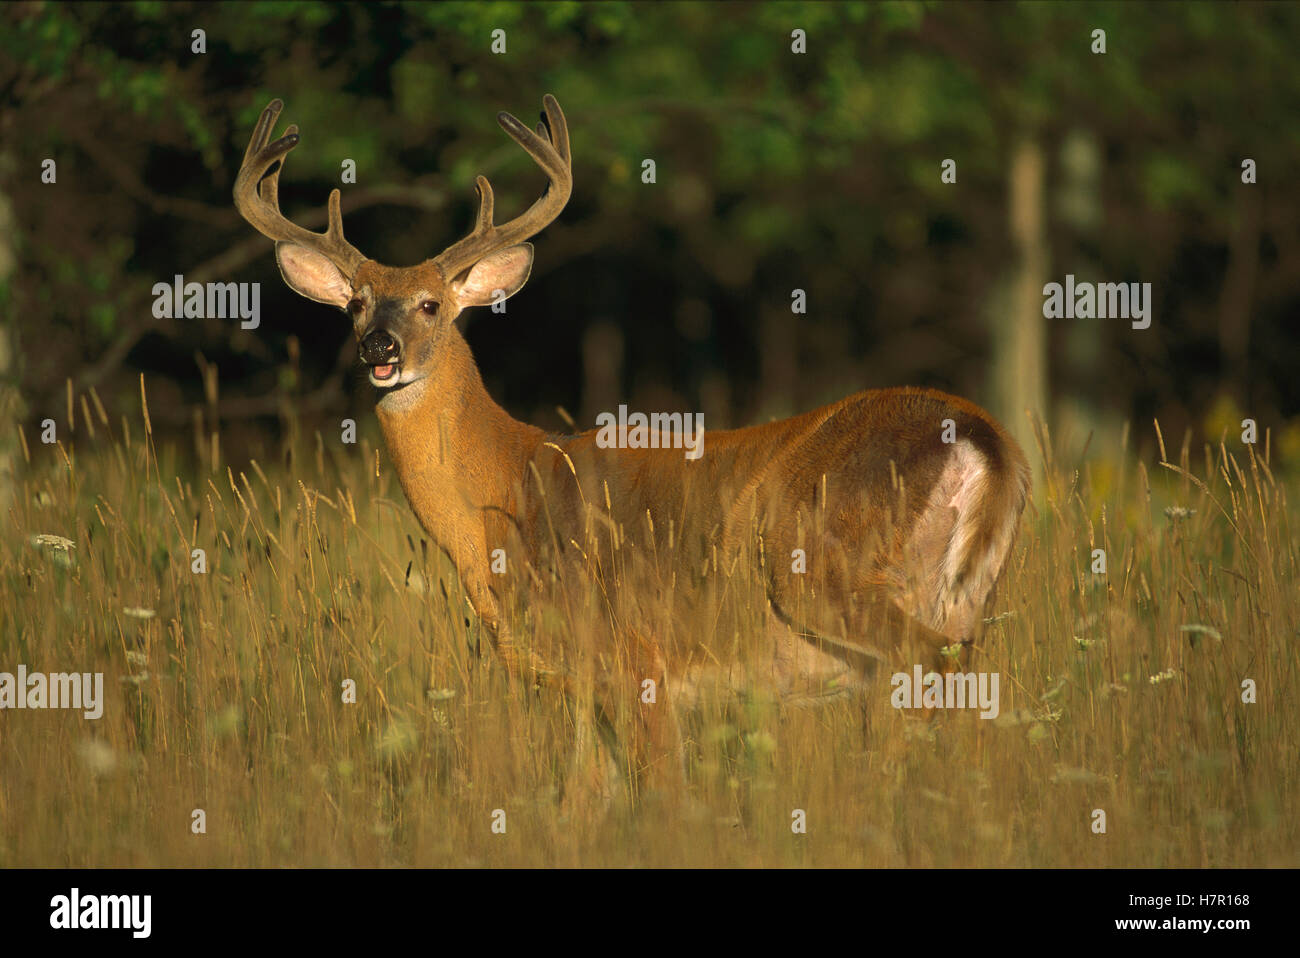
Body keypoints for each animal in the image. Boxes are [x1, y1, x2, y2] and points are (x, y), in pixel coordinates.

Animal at [234, 94, 1030, 808]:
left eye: (432, 304)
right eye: (355, 304)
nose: (380, 349)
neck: (504, 492)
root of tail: (984, 436)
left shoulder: (632, 656)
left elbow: (661, 794)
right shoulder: (582, 685)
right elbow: (581, 801)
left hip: (824, 572)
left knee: (933, 669)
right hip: (965, 593)